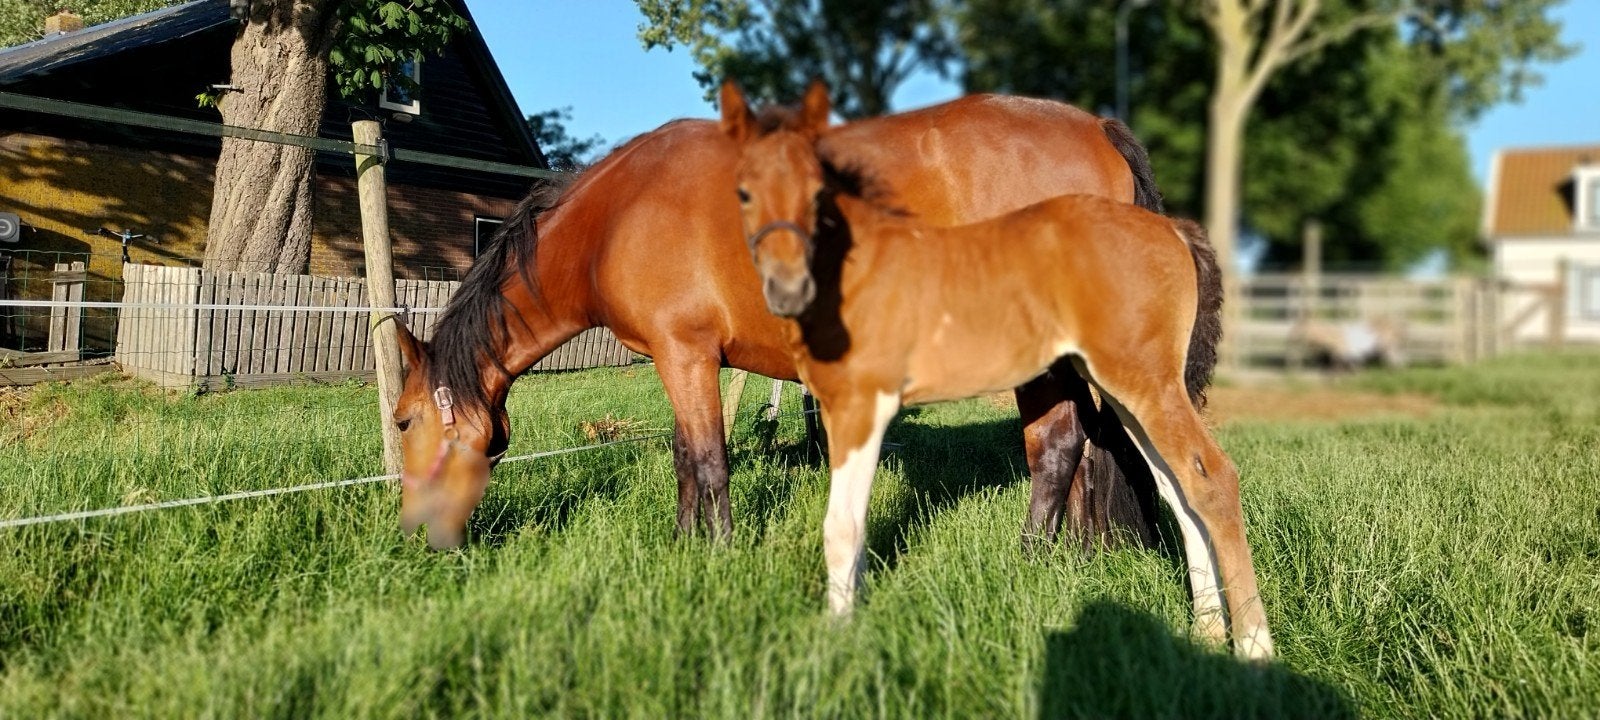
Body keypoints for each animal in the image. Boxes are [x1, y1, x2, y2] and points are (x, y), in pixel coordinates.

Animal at [389, 82, 1213, 551]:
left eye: (400, 421)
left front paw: (718, 554)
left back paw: (1030, 556)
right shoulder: (682, 360)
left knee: (1056, 448)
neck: (616, 213)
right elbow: (686, 459)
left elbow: (709, 461)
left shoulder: (684, 353)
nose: (417, 536)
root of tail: (1099, 128)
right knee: (1081, 448)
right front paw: (685, 545)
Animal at [726, 84, 1272, 660]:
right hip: (1129, 390)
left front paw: (832, 642)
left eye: (818, 194)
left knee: (1205, 478)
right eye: (744, 192)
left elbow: (839, 526)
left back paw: (1253, 646)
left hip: (1134, 383)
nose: (784, 286)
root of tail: (1174, 231)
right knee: (1174, 488)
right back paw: (1204, 629)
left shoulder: (857, 404)